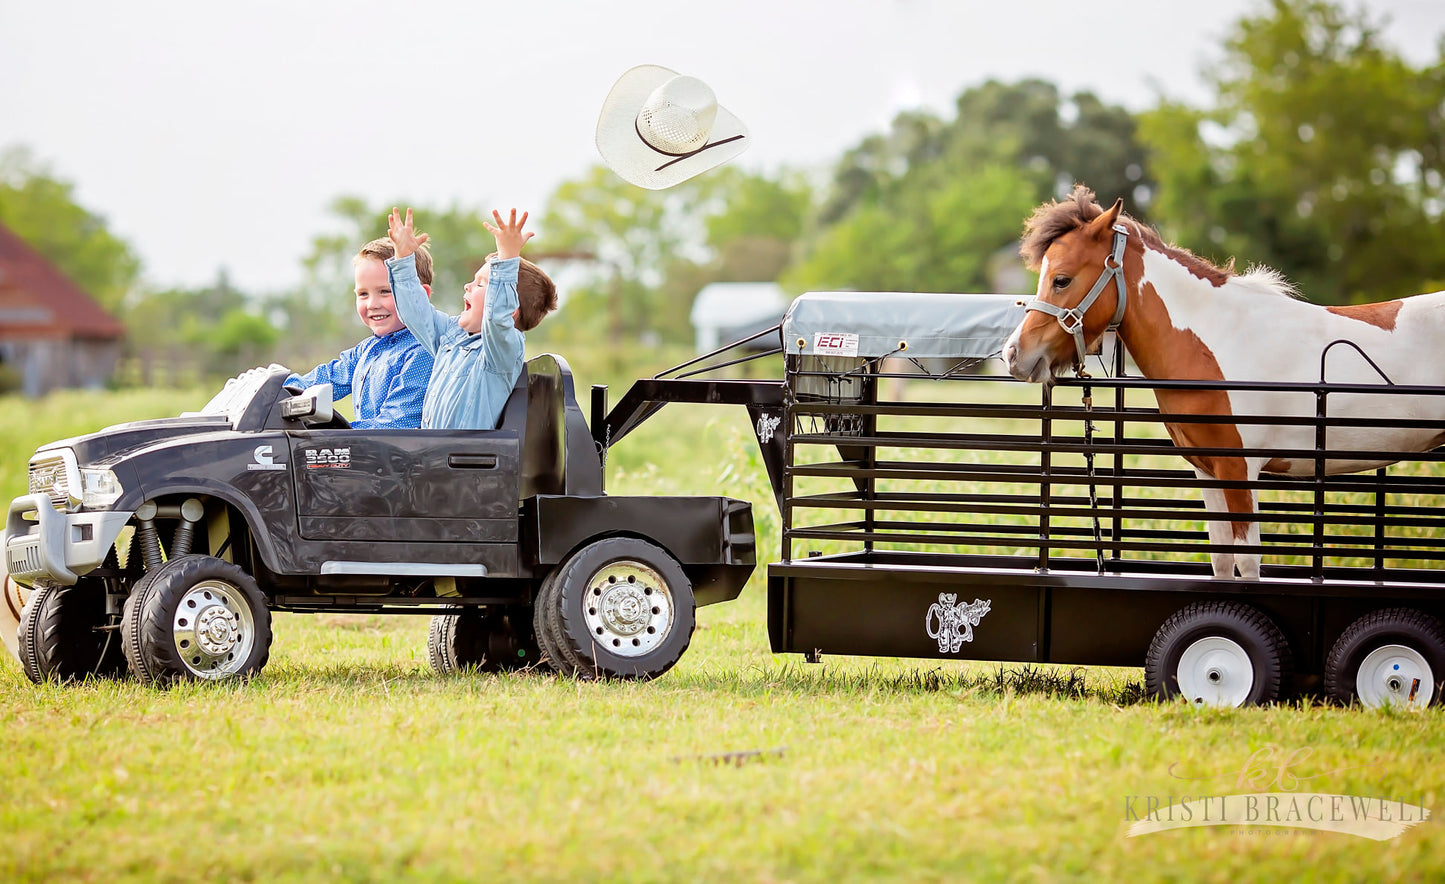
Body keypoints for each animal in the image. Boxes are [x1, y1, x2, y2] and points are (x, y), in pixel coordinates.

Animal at [1005, 186, 1445, 580]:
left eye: (1061, 280)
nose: (1014, 354)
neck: (1216, 340)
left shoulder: (1240, 469)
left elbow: (1248, 562)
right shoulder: (1209, 470)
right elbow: (1221, 559)